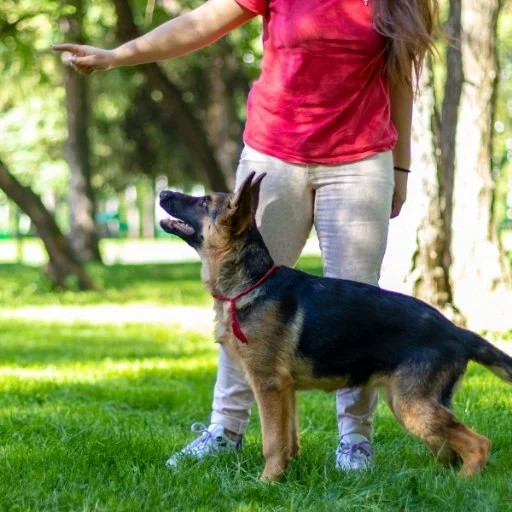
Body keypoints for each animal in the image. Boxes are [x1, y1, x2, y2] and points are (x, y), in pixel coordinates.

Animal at [160, 172, 512, 480]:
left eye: (203, 201)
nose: (162, 193)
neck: (251, 282)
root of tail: (457, 332)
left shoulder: (268, 385)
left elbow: (272, 442)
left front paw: (267, 482)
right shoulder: (285, 390)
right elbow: (287, 440)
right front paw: (285, 475)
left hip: (413, 406)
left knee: (478, 445)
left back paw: (462, 483)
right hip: (409, 405)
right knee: (449, 450)